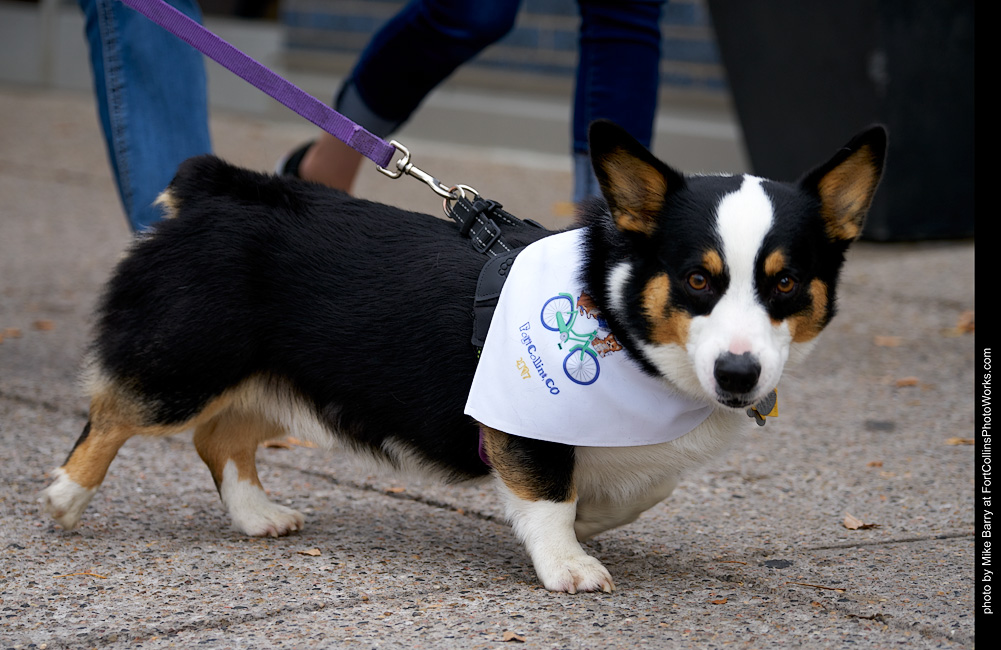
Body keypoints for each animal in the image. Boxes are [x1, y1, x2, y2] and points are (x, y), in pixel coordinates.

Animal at [42, 121, 886, 593]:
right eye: (697, 279)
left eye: (785, 283)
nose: (738, 377)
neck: (618, 319)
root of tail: (218, 188)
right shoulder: (528, 426)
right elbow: (548, 498)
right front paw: (567, 564)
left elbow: (631, 490)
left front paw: (594, 519)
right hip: (184, 366)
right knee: (114, 415)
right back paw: (64, 497)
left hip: (268, 377)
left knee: (223, 439)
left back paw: (258, 516)